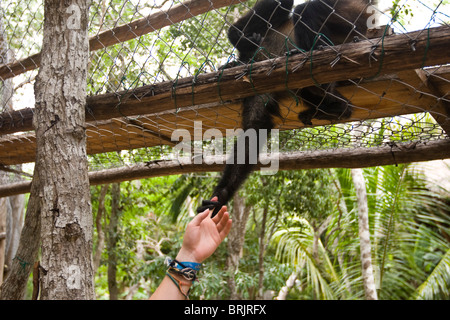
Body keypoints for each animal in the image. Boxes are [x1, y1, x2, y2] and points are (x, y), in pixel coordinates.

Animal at [199, 0, 370, 215]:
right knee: (313, 91)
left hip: (352, 11)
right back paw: (336, 106)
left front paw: (241, 39)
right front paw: (221, 195)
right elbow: (254, 130)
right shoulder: (257, 91)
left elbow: (272, 9)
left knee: (306, 9)